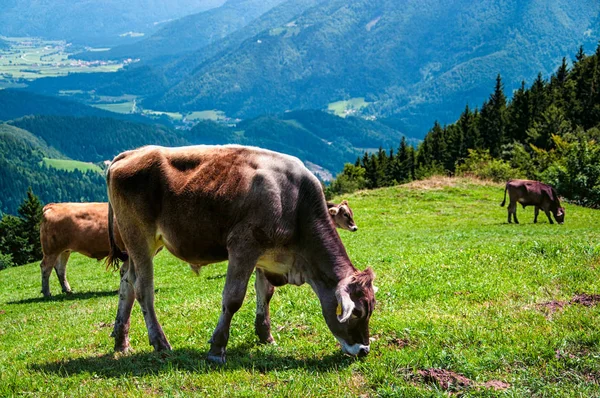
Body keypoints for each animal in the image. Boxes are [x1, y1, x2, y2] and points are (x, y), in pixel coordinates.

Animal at [104, 144, 376, 364]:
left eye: (372, 308)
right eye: (358, 313)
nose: (364, 350)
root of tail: (131, 153)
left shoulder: (265, 256)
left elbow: (265, 293)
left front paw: (265, 335)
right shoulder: (243, 246)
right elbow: (233, 298)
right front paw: (217, 349)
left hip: (139, 244)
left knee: (126, 282)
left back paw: (121, 341)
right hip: (139, 237)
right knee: (143, 288)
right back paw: (160, 343)